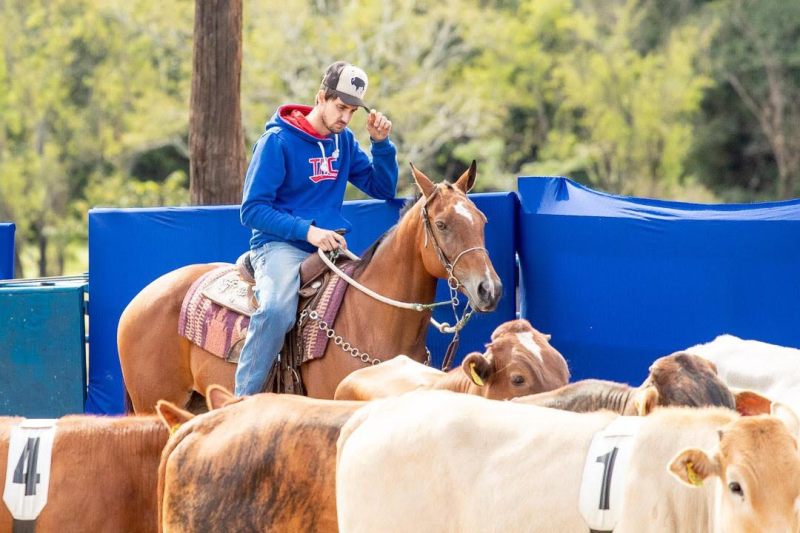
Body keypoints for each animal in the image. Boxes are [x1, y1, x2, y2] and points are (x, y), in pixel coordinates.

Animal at [115, 161, 504, 412]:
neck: (370, 318)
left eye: (483, 220)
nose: (490, 289)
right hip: (154, 404)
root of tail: (138, 301)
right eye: (442, 224)